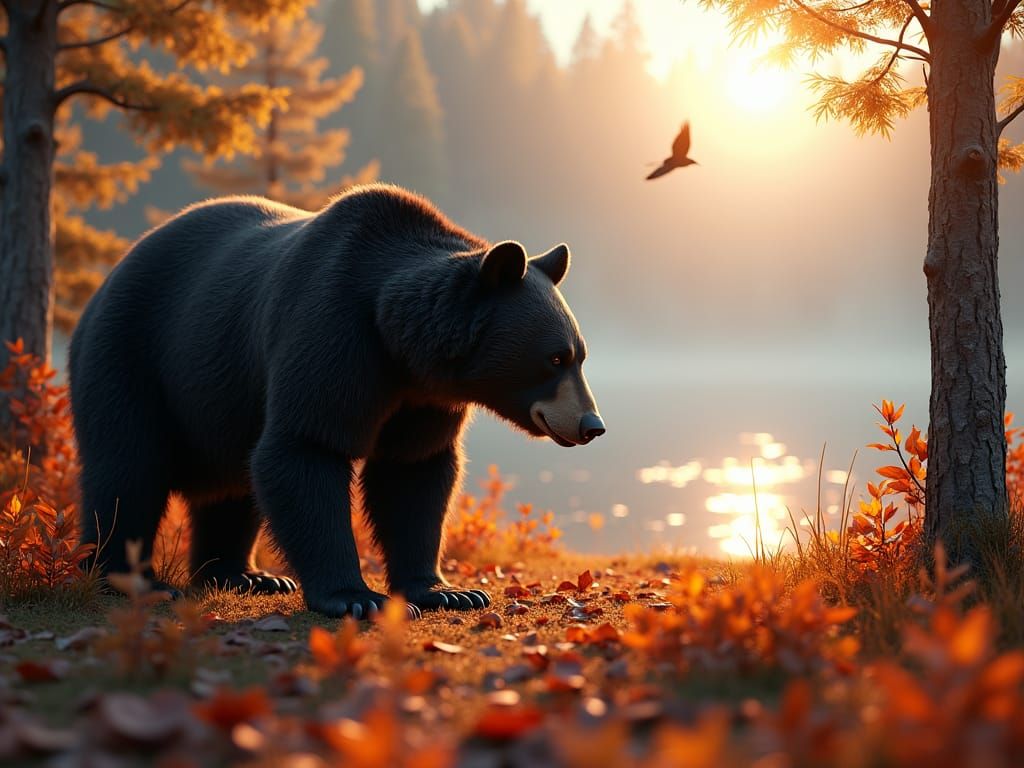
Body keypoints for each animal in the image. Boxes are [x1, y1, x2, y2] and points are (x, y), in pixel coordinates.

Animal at [69, 183, 605, 619]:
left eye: (580, 355)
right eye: (555, 358)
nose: (591, 425)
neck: (395, 342)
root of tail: (106, 281)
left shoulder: (420, 399)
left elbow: (414, 473)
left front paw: (449, 591)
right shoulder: (331, 331)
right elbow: (306, 447)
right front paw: (356, 597)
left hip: (221, 396)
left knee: (231, 489)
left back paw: (248, 576)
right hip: (133, 355)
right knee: (128, 468)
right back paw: (135, 580)